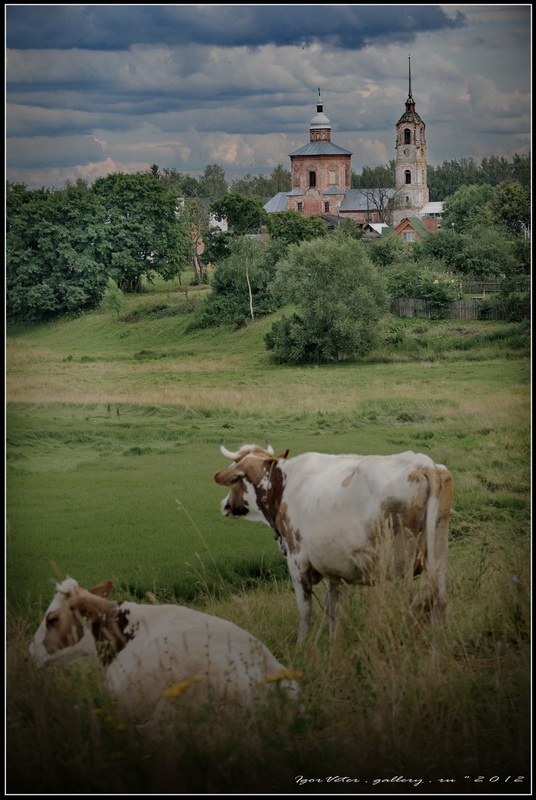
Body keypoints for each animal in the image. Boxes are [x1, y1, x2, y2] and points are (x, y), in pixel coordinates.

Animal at [214, 444, 452, 644]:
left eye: (233, 479)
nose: (224, 505)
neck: (283, 484)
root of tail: (422, 463)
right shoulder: (335, 568)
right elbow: (334, 609)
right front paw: (333, 645)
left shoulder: (297, 560)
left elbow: (305, 608)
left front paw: (302, 646)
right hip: (437, 556)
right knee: (437, 604)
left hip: (401, 567)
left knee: (415, 607)